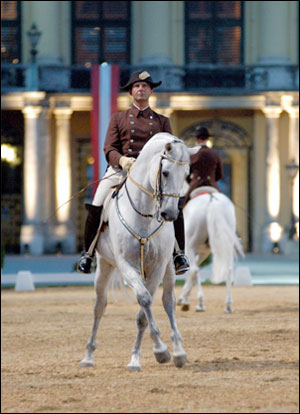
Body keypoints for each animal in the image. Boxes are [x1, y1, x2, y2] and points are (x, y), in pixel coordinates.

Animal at [79, 133, 198, 372]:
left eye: (186, 175)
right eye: (165, 172)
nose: (170, 214)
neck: (145, 213)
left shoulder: (158, 267)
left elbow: (144, 311)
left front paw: (157, 353)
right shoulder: (126, 265)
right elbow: (143, 300)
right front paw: (159, 350)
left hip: (169, 268)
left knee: (168, 302)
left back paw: (178, 351)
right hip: (105, 265)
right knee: (99, 307)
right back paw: (88, 356)